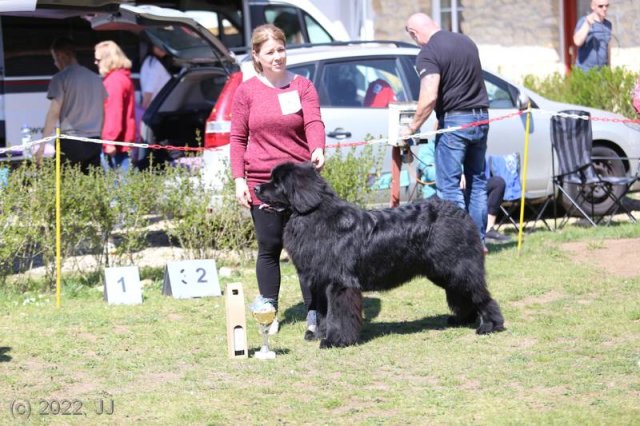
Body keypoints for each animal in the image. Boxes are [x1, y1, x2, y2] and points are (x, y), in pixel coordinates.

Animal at [255, 161, 504, 348]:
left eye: (277, 183)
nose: (256, 188)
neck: (312, 215)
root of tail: (461, 213)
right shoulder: (320, 282)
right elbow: (324, 312)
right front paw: (318, 334)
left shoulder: (339, 282)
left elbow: (339, 313)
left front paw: (335, 340)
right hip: (443, 272)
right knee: (462, 294)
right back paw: (462, 319)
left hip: (458, 267)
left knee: (480, 294)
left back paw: (491, 325)